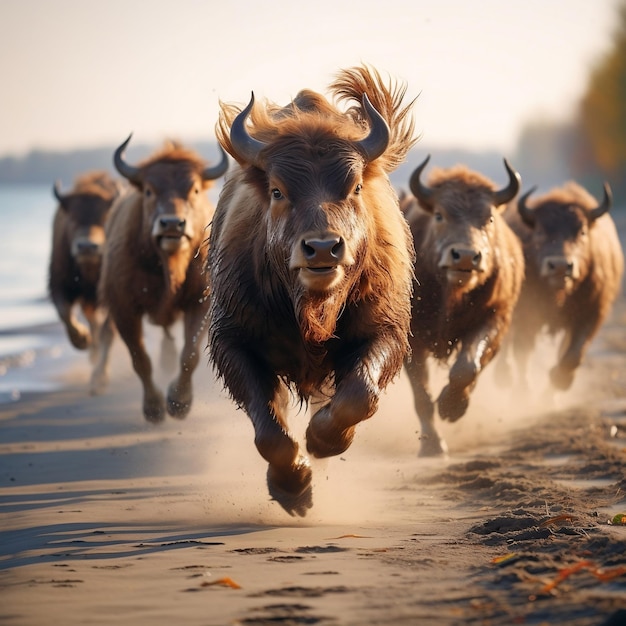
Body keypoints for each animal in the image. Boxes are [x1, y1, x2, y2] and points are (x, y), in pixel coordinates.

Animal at [90, 135, 229, 420]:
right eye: (148, 191)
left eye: (194, 190)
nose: (172, 224)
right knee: (108, 334)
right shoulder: (123, 308)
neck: (169, 266)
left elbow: (190, 355)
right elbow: (139, 358)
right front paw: (153, 407)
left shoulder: (200, 303)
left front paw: (178, 402)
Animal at [207, 66, 416, 516]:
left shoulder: (385, 330)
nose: (322, 247)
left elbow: (360, 394)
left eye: (355, 188)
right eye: (277, 190)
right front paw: (293, 486)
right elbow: (269, 428)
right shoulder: (231, 341)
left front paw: (323, 439)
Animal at [400, 155, 520, 458]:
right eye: (439, 215)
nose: (465, 256)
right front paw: (432, 445)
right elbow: (421, 395)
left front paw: (452, 406)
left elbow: (468, 366)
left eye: (489, 218)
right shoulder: (411, 341)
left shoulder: (494, 320)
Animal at [498, 180, 620, 392]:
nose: (560, 266)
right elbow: (522, 354)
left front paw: (559, 378)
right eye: (539, 231)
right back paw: (504, 376)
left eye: (582, 231)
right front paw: (523, 391)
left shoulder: (591, 314)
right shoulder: (527, 316)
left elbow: (573, 355)